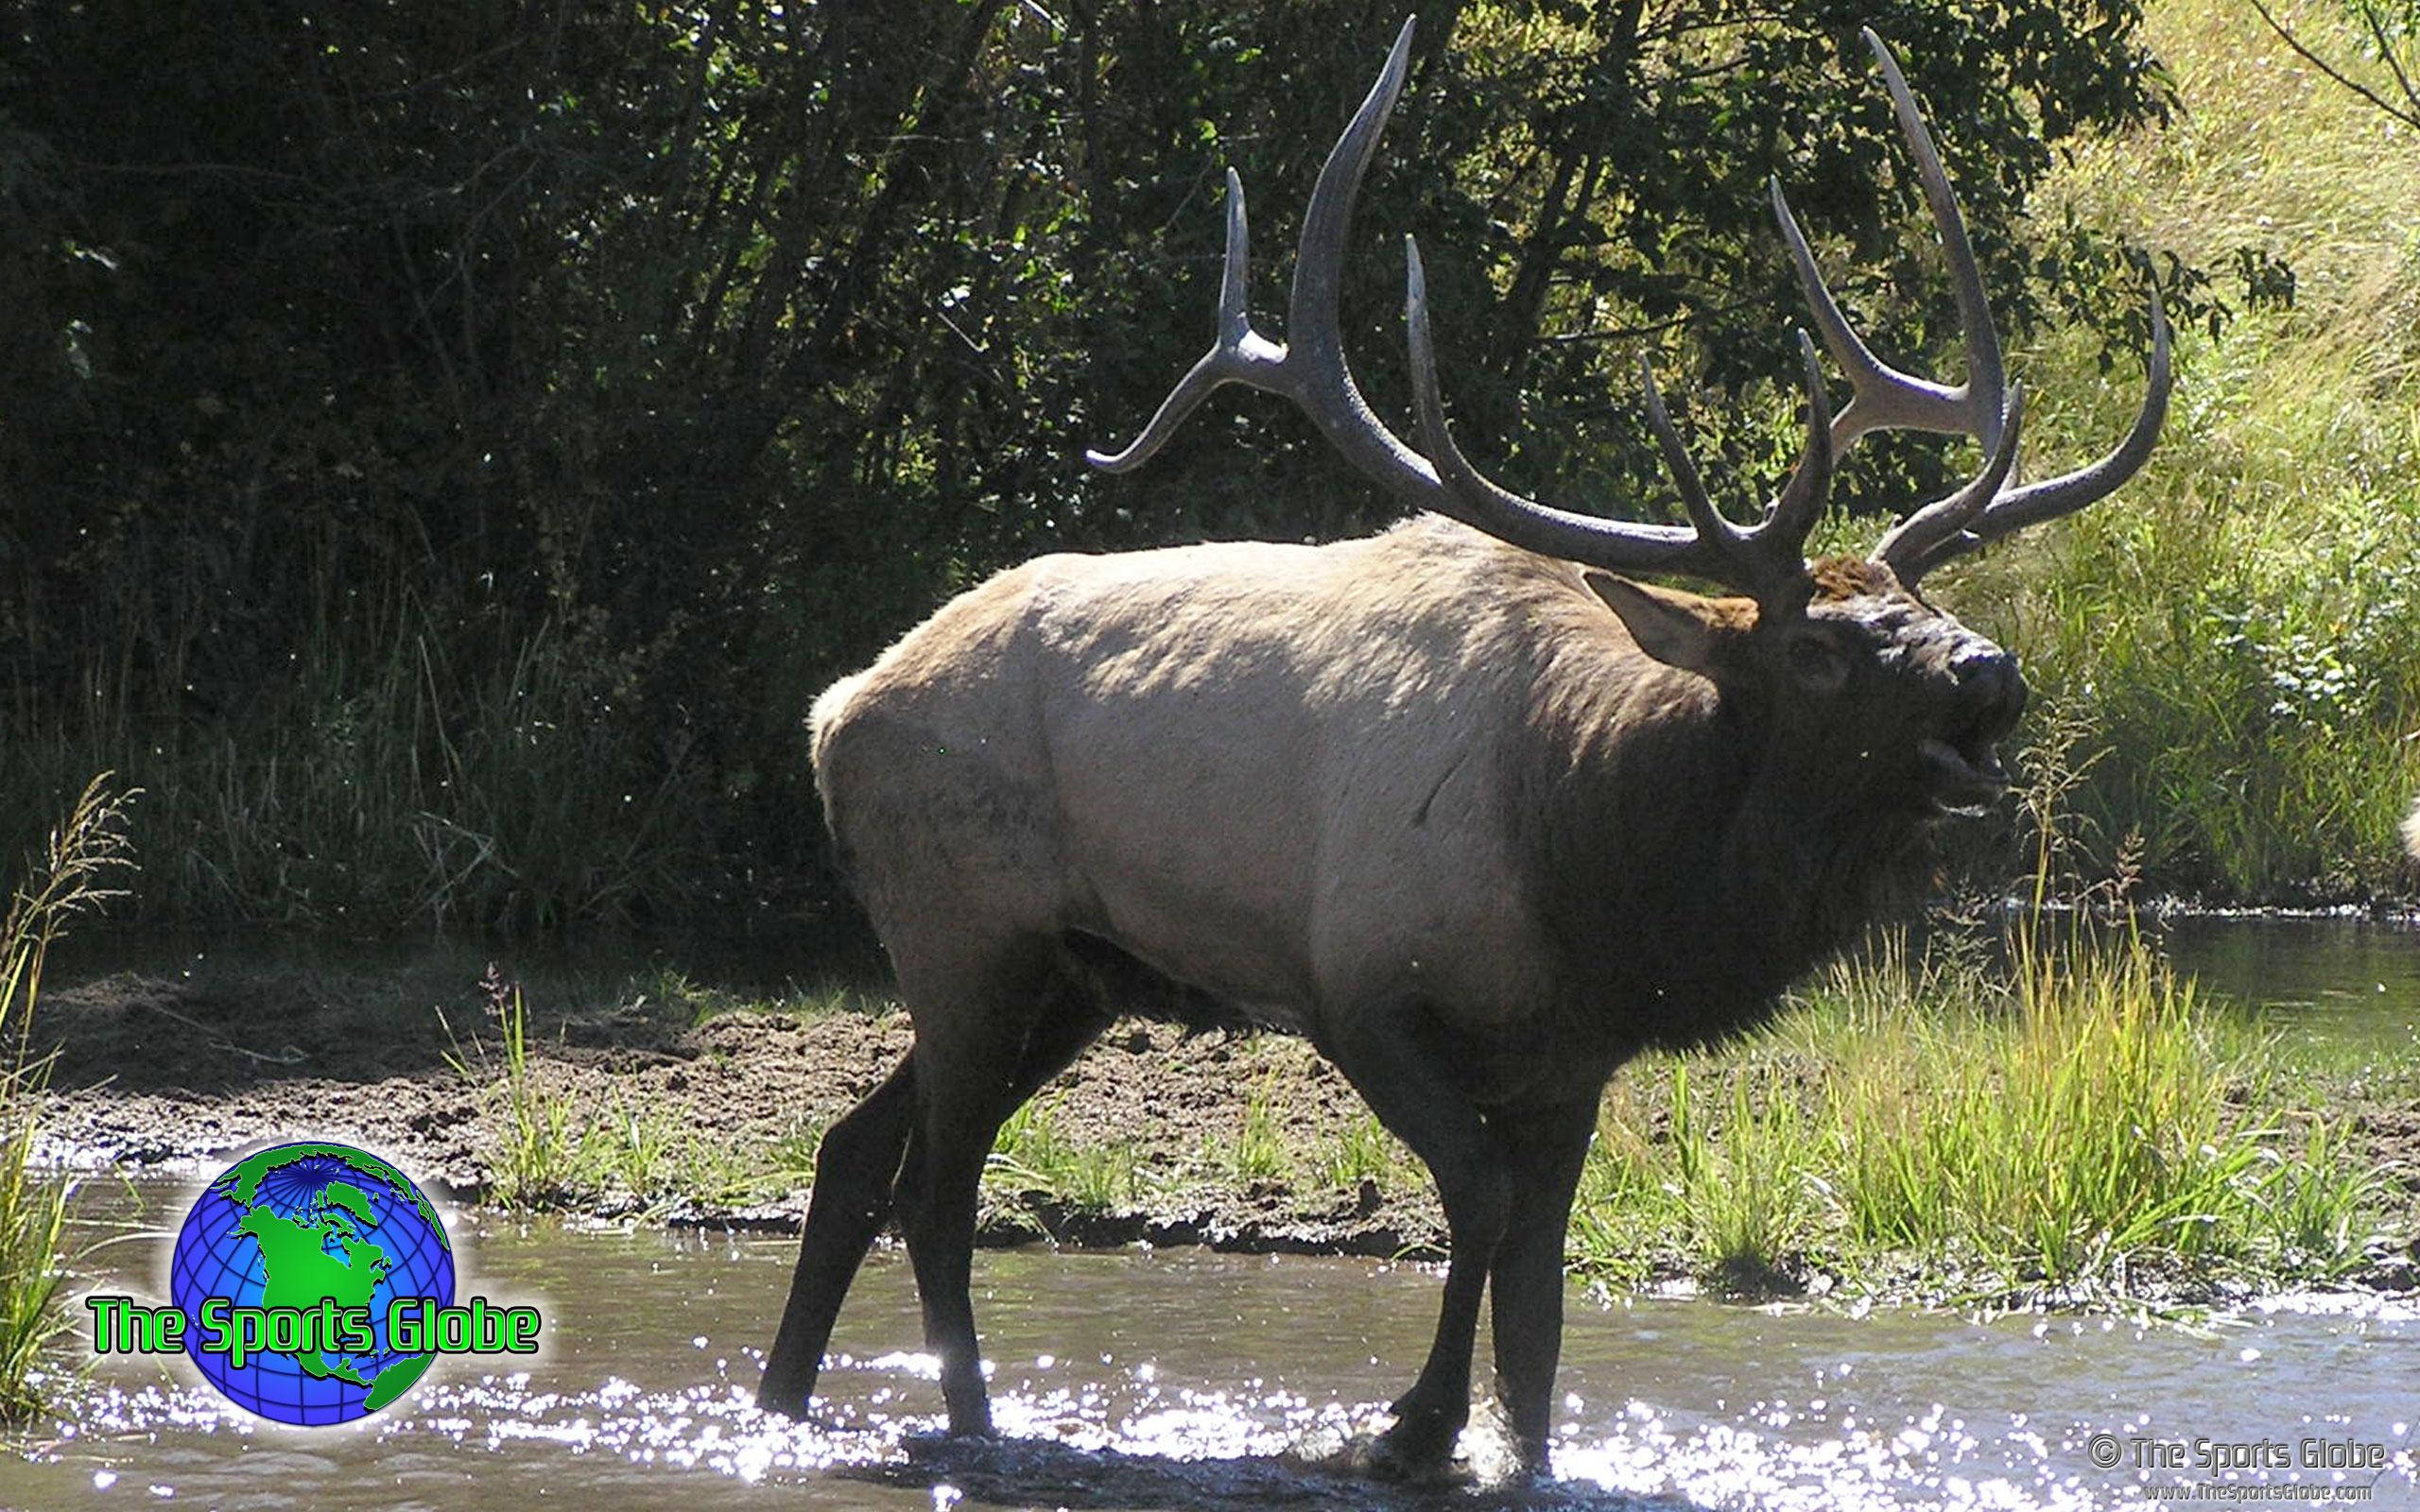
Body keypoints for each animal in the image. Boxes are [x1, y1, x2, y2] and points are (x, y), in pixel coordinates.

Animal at [757, 18, 2169, 1478]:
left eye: (1920, 602)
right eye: (1818, 649)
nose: (1991, 673)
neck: (1595, 866)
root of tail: (833, 713)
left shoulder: (1571, 1055)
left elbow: (1540, 1292)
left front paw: (1515, 1446)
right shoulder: (1359, 989)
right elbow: (1480, 1208)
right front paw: (1407, 1427)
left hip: (1065, 976)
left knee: (852, 1151)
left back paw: (788, 1399)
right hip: (968, 935)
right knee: (933, 1182)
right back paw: (973, 1424)